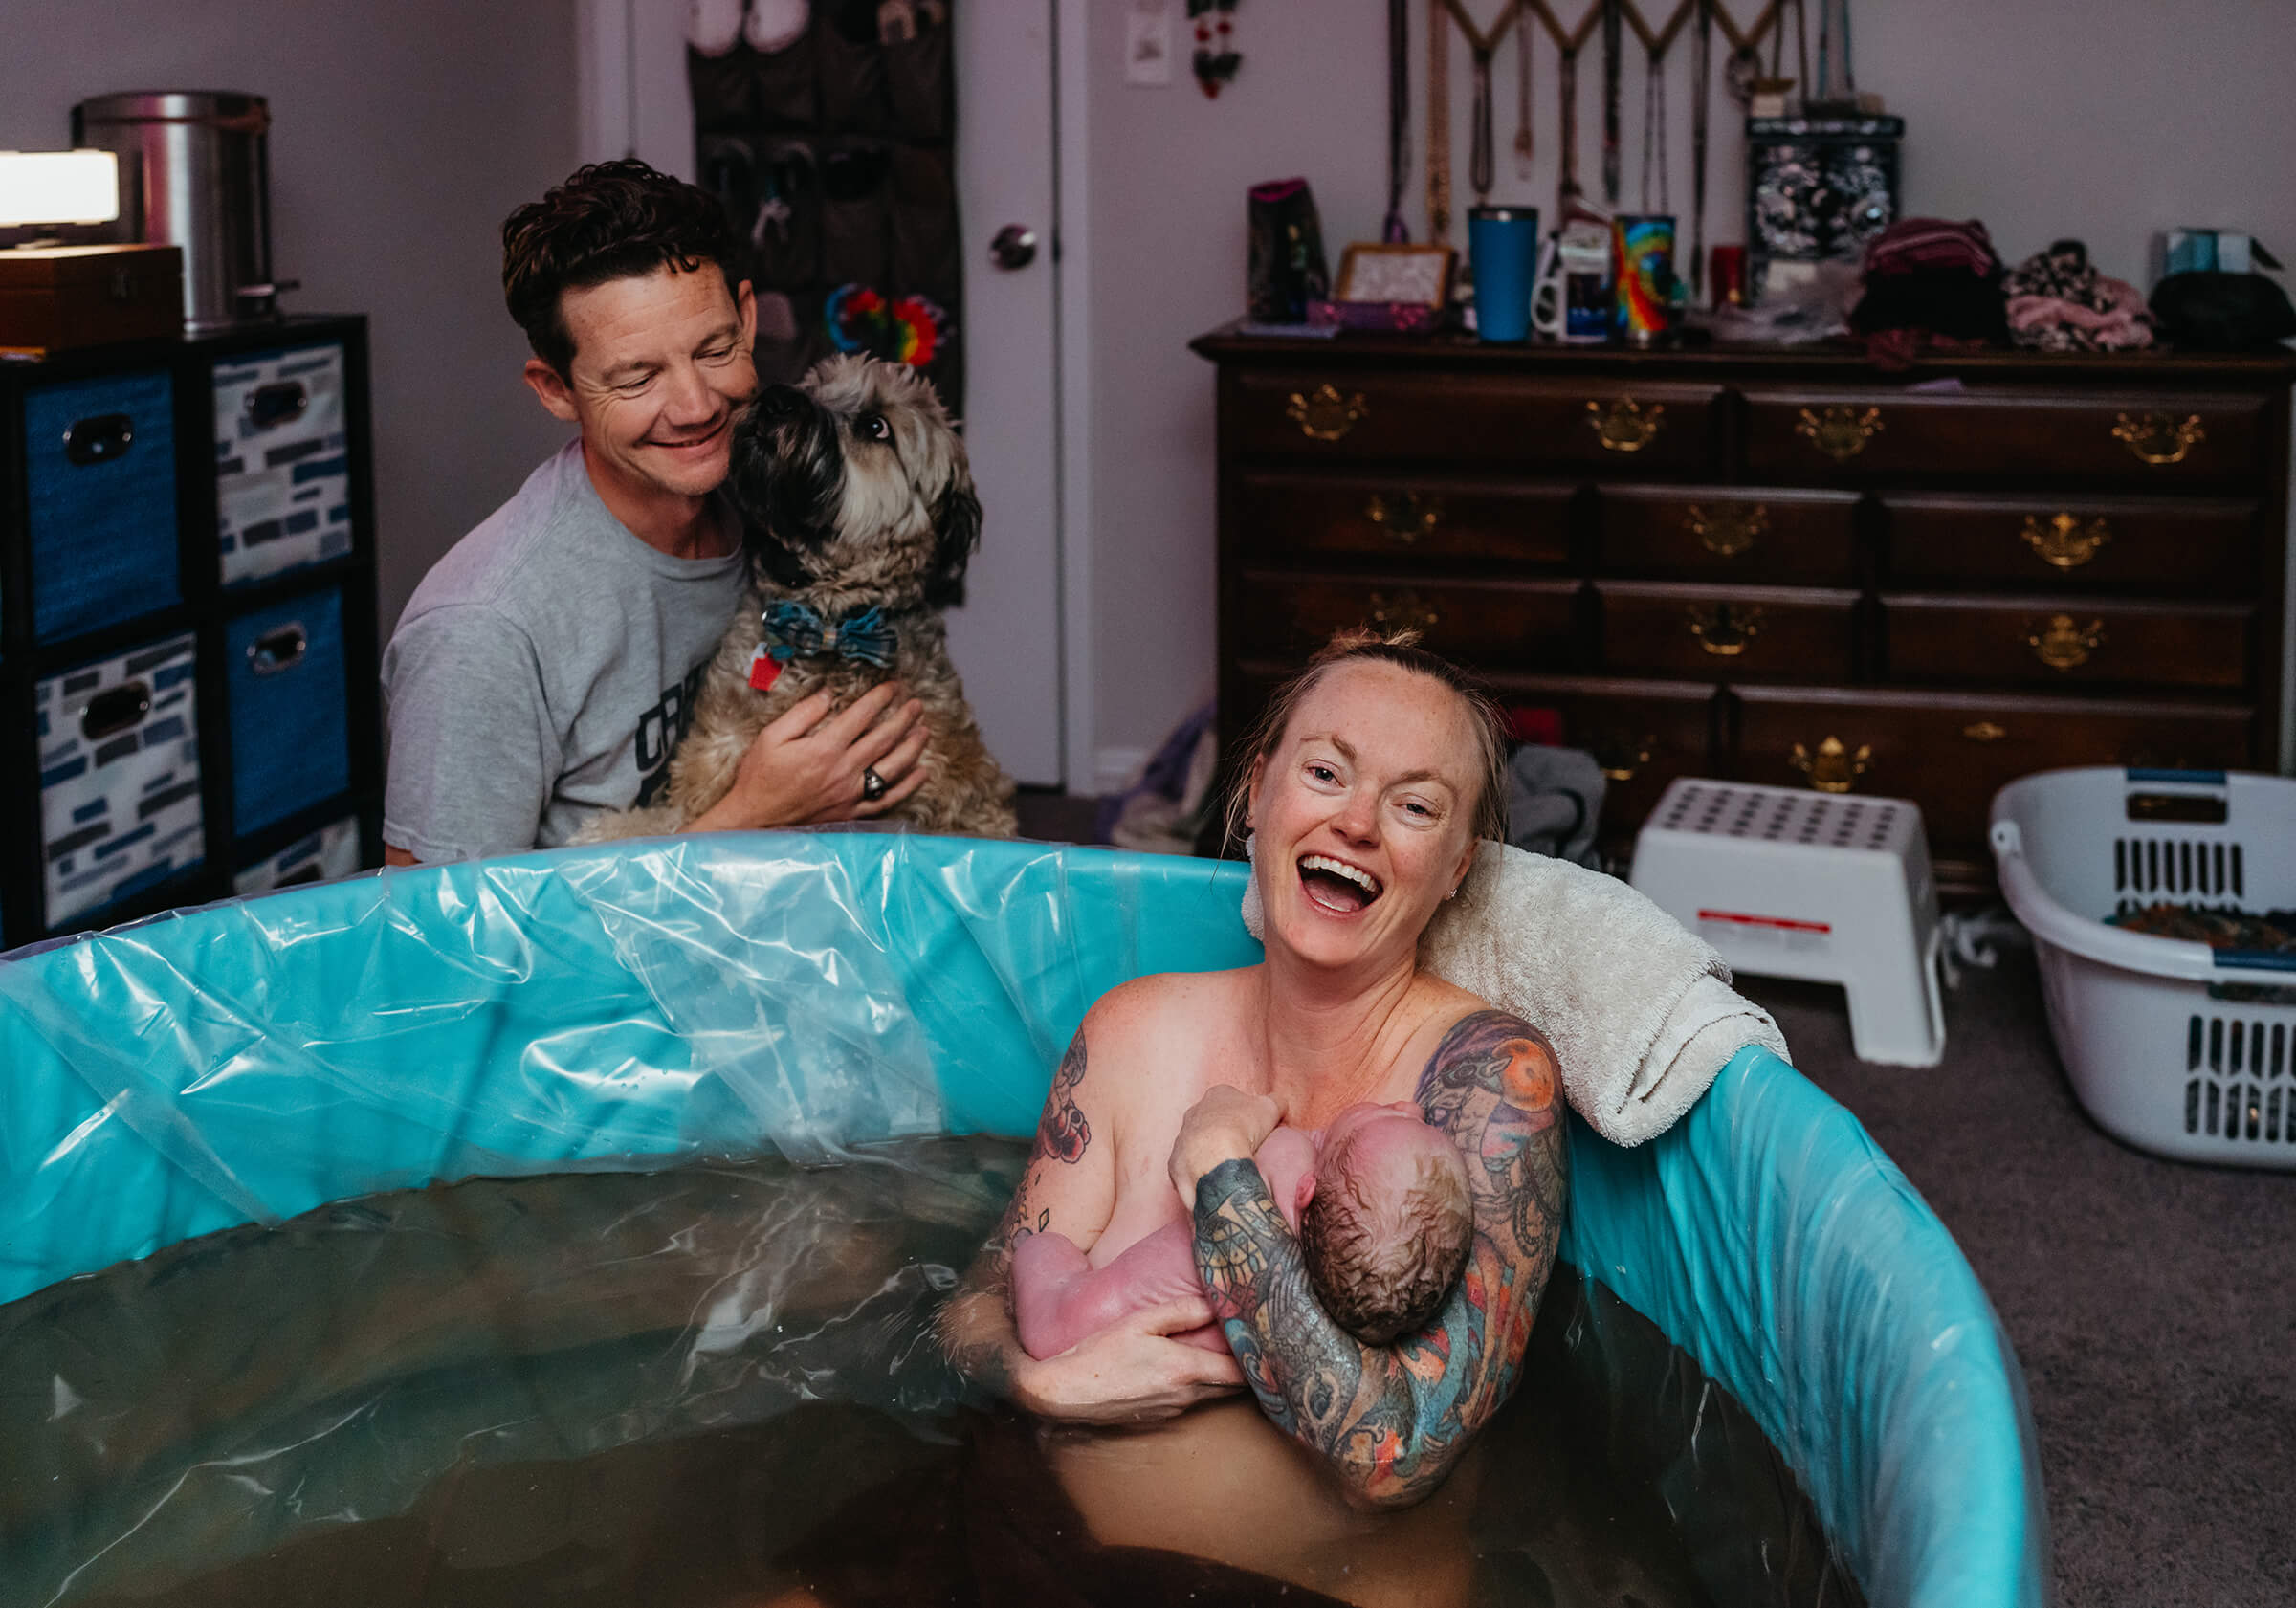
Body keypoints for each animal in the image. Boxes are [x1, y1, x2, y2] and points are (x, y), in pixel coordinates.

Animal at [583, 356, 1024, 840]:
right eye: (819, 384)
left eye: (876, 426)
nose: (777, 398)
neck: (825, 622)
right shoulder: (712, 761)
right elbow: (680, 816)